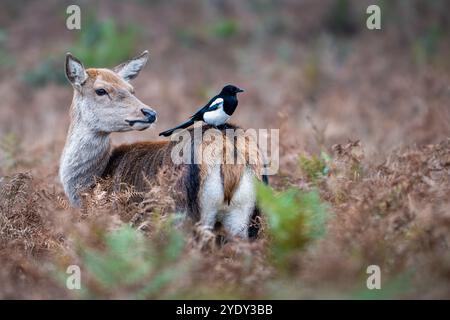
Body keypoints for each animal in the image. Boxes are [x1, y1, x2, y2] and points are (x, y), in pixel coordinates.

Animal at [59, 51, 264, 239]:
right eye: (100, 90)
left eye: (131, 89)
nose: (149, 113)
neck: (90, 183)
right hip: (244, 216)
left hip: (187, 215)